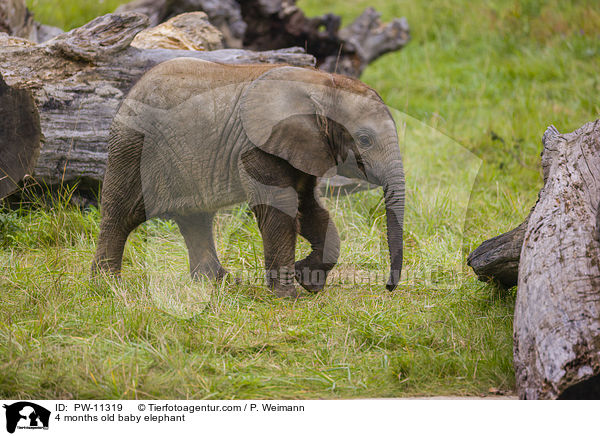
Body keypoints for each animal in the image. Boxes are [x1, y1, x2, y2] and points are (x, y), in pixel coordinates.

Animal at [91, 58, 406, 296]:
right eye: (364, 140)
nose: (388, 288)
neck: (323, 84)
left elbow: (311, 209)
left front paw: (308, 281)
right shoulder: (258, 146)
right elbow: (280, 210)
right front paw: (288, 296)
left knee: (196, 218)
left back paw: (219, 283)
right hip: (131, 145)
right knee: (121, 213)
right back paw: (107, 284)